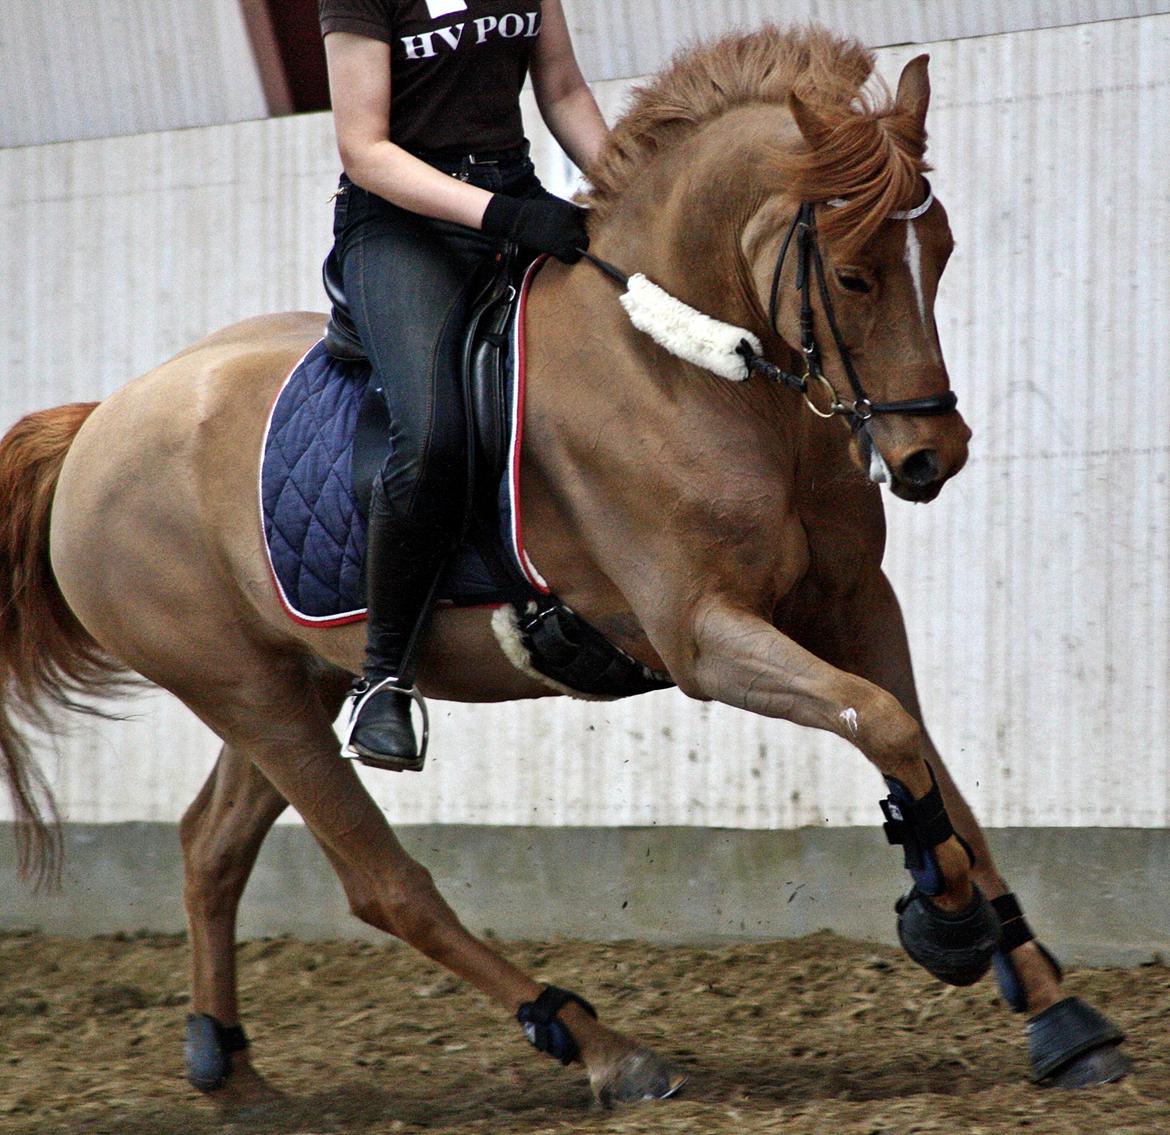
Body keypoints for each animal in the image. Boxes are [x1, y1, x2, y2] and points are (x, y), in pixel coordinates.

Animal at [2, 24, 1132, 1104]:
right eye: (853, 273)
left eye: (939, 250)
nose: (931, 456)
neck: (686, 369)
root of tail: (99, 423)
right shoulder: (703, 637)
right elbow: (888, 727)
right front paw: (946, 922)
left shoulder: (855, 603)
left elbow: (927, 758)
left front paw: (1055, 1010)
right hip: (247, 692)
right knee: (382, 884)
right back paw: (602, 1048)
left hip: (295, 679)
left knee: (211, 846)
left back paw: (229, 1066)